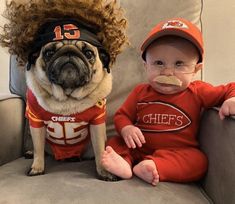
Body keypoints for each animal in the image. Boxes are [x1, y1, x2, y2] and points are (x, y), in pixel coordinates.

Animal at [24, 19, 116, 181]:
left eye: (88, 53)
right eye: (49, 53)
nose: (69, 52)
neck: (67, 96)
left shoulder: (97, 123)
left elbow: (100, 150)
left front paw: (104, 171)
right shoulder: (36, 121)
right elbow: (38, 148)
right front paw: (37, 167)